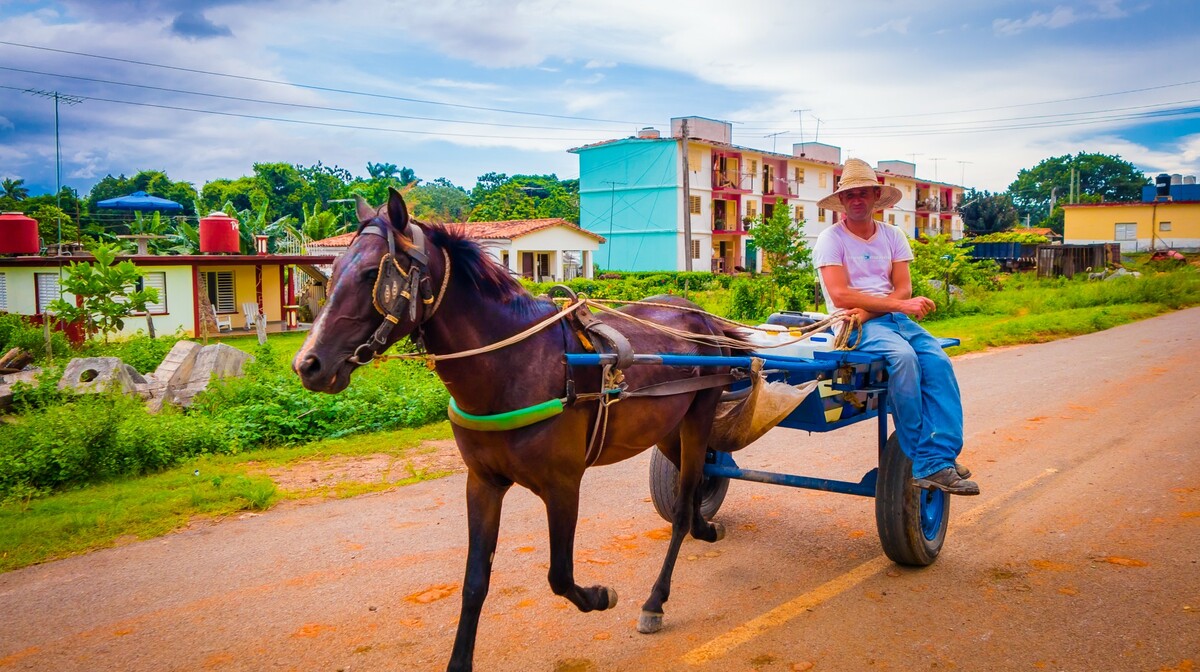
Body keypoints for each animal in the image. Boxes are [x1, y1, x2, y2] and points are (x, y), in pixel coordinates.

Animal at [290, 189, 744, 672]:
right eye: (333, 269)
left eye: (371, 274)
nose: (308, 364)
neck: (514, 365)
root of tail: (702, 316)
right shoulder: (483, 482)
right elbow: (474, 581)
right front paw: (459, 661)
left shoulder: (563, 484)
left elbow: (560, 576)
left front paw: (601, 596)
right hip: (666, 427)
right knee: (695, 482)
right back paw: (705, 527)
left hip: (699, 413)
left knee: (681, 505)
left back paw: (656, 600)